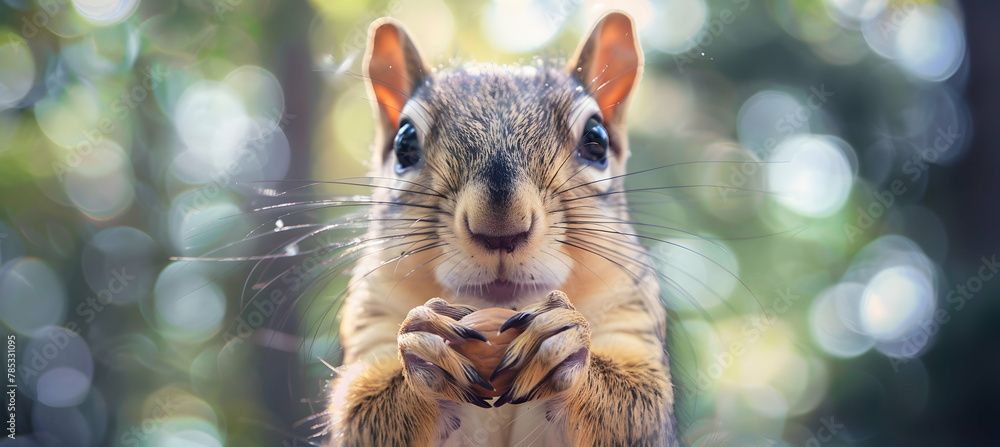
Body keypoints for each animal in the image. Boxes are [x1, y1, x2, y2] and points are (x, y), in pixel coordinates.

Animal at [320, 10, 680, 447]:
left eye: (596, 139)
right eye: (404, 143)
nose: (500, 229)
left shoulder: (629, 312)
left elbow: (637, 412)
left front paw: (567, 340)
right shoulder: (372, 318)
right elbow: (363, 413)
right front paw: (423, 345)